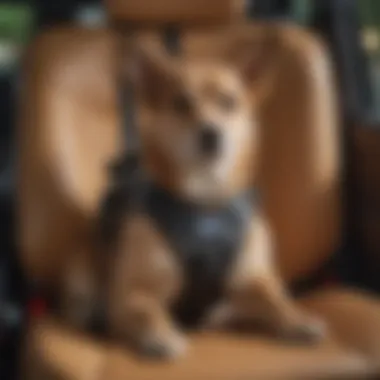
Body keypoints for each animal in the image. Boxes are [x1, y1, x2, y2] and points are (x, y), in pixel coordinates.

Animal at [59, 35, 326, 360]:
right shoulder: (133, 293)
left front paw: (298, 320)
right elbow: (144, 311)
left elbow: (277, 301)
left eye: (229, 102)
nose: (211, 134)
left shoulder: (254, 281)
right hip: (82, 274)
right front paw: (160, 335)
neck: (204, 201)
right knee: (83, 305)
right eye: (181, 104)